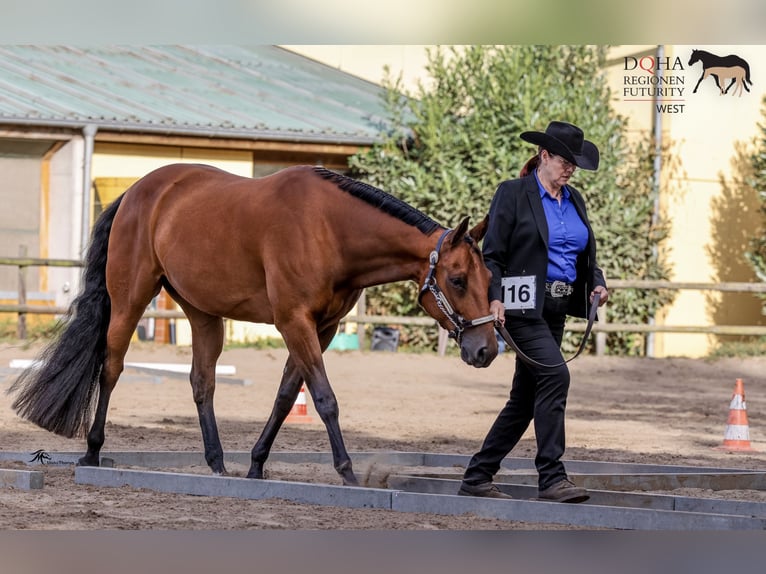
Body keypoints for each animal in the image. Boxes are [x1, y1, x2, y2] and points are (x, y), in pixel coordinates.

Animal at [8, 163, 498, 486]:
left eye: (489, 278)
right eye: (457, 279)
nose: (486, 350)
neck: (330, 228)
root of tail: (135, 192)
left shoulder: (321, 328)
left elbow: (285, 397)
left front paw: (257, 464)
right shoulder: (294, 321)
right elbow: (325, 398)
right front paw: (347, 472)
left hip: (202, 313)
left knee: (201, 382)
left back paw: (217, 462)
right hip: (130, 300)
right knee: (111, 368)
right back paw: (92, 451)